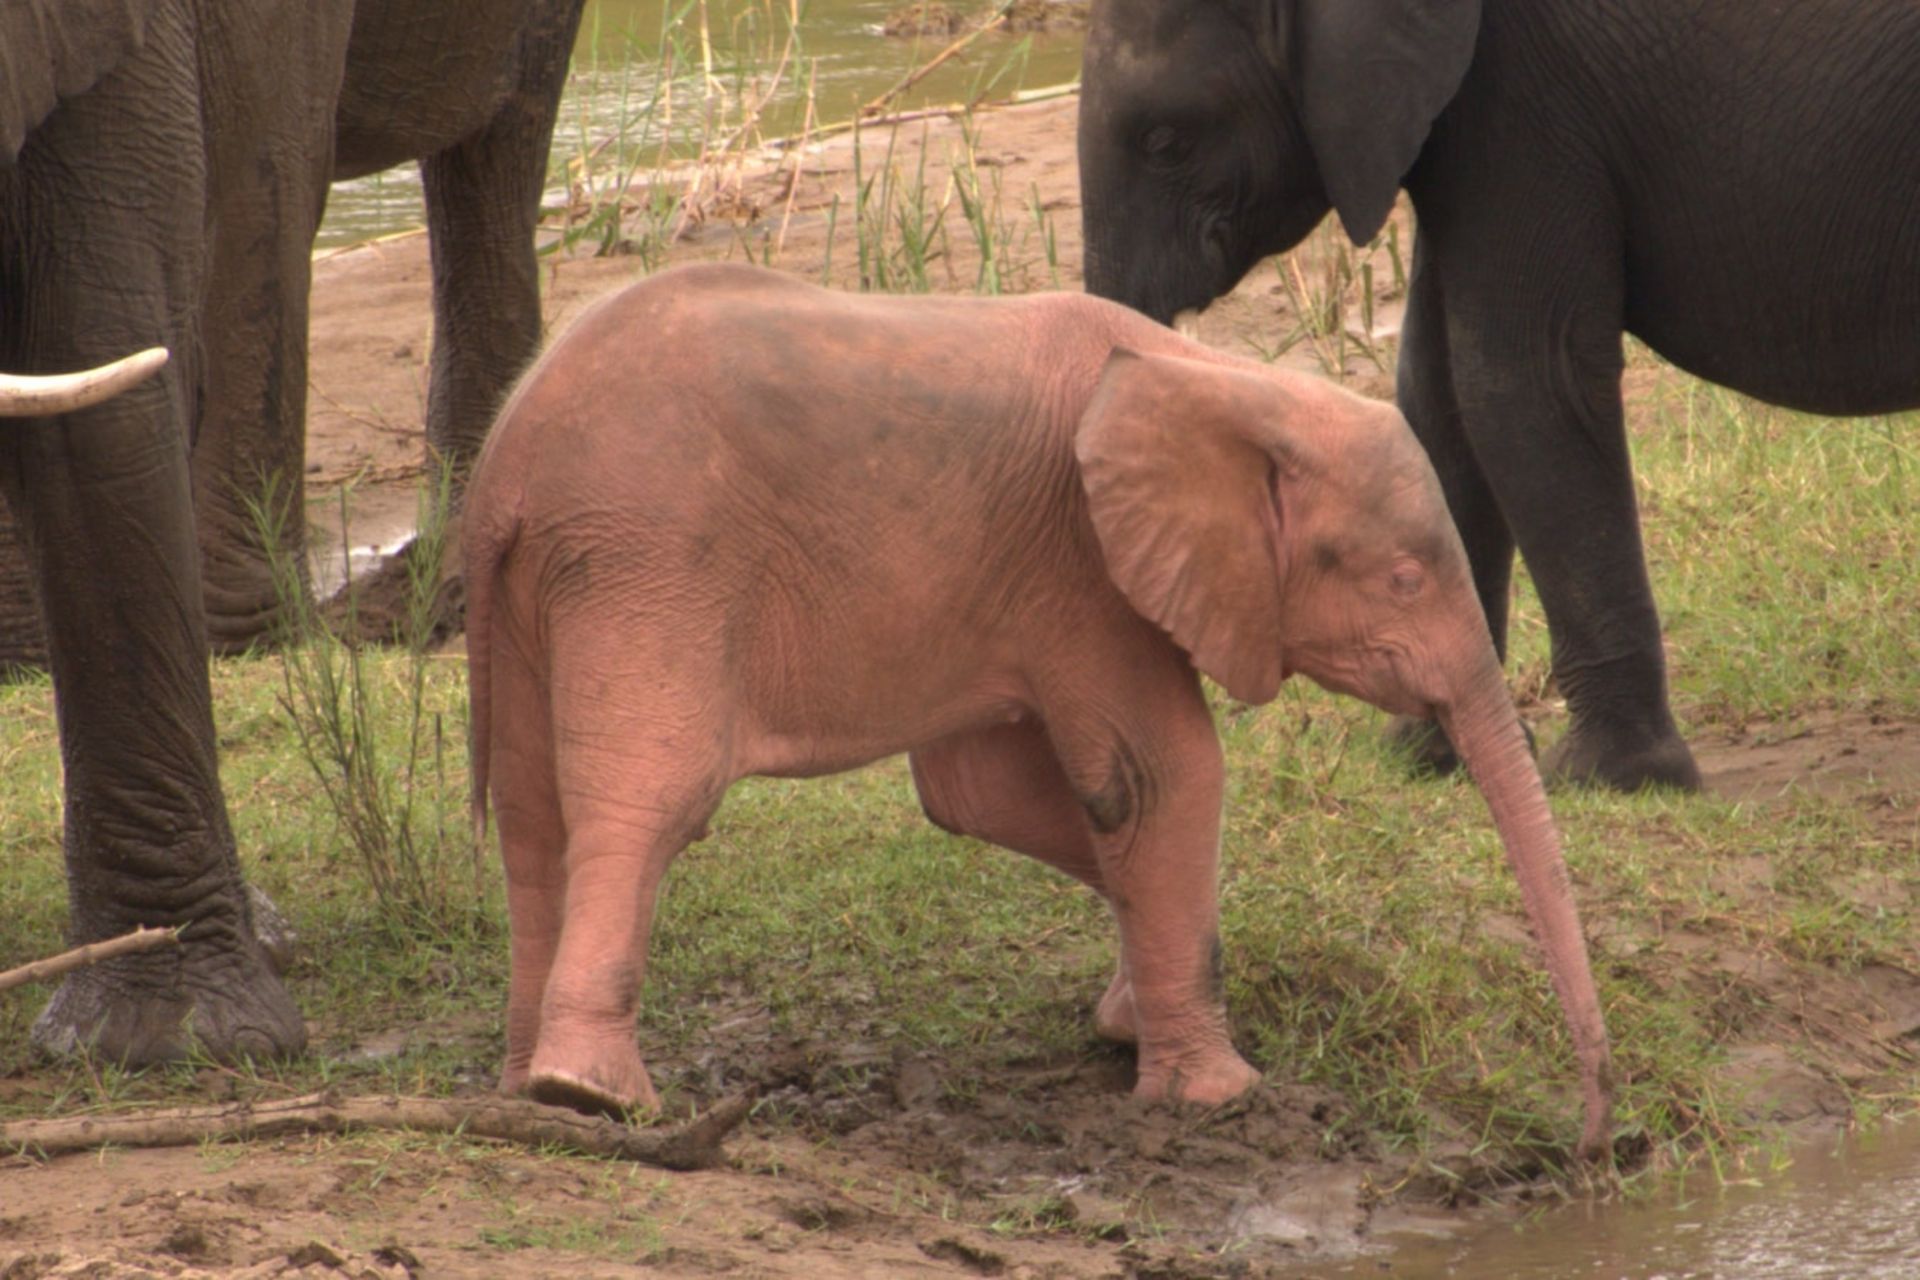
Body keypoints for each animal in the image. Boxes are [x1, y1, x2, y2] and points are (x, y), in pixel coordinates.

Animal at [468, 260, 1620, 1159]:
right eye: (1403, 580)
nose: (1604, 1140)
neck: (1225, 382)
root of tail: (502, 469)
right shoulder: (1084, 561)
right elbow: (1162, 776)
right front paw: (1218, 1098)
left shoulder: (1022, 580)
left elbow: (985, 796)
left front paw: (1124, 1026)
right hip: (649, 563)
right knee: (649, 798)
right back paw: (595, 1096)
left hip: (551, 589)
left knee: (530, 816)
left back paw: (527, 1093)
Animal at [1075, 0, 1920, 794]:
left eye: (1165, 140)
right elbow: (1434, 394)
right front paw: (1428, 760)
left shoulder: (1525, 100)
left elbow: (1517, 382)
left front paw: (1607, 779)